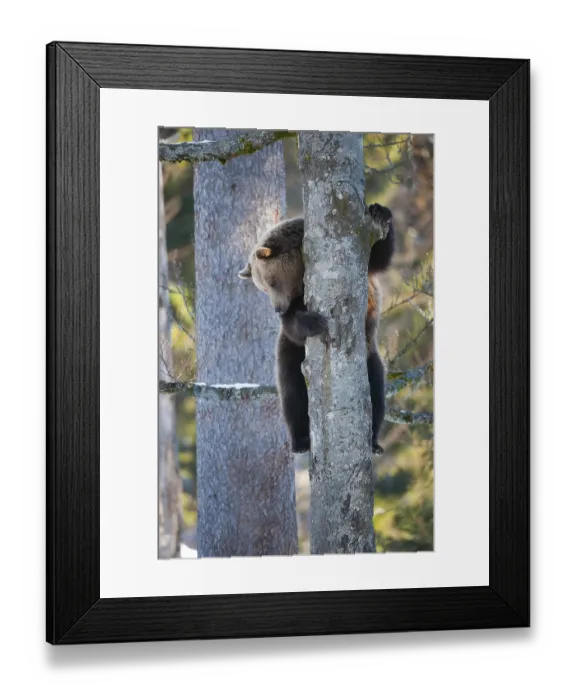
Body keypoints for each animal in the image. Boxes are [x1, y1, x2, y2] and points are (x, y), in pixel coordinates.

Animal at [238, 203, 395, 454]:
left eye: (270, 282)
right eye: (262, 287)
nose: (277, 309)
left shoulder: (362, 259)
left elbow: (380, 255)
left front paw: (378, 211)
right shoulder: (294, 309)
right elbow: (294, 326)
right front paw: (314, 322)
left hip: (369, 353)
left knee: (376, 390)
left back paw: (373, 441)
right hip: (290, 356)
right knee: (292, 393)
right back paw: (301, 441)